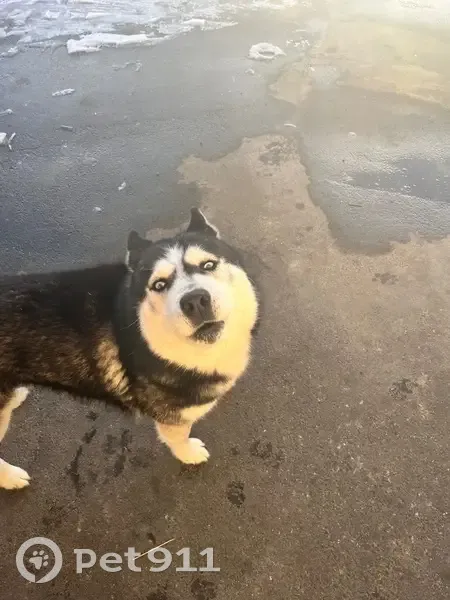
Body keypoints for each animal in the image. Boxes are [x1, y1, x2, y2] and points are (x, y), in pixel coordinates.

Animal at [0, 209, 259, 490]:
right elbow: (178, 437)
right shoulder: (172, 417)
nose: (194, 301)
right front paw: (188, 453)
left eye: (208, 265)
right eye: (159, 285)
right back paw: (10, 477)